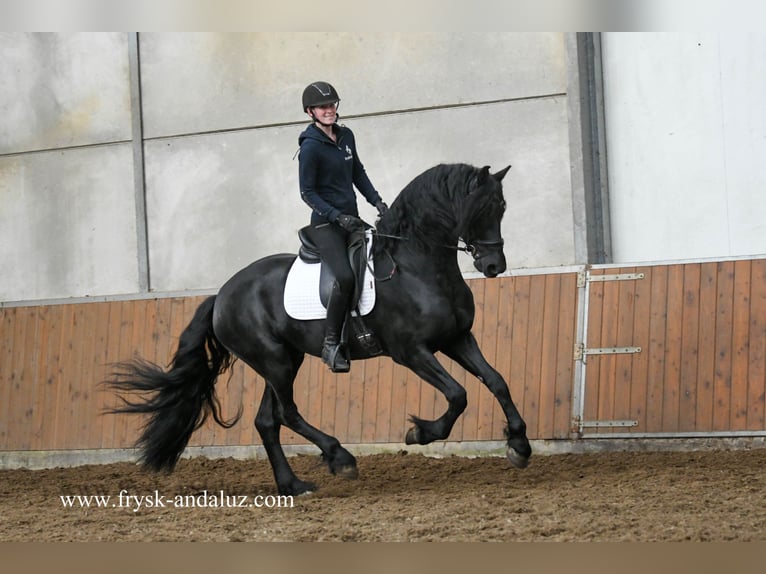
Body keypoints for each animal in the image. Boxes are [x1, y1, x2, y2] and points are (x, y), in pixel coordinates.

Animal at [107, 163, 531, 496]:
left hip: (284, 360)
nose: (494, 266)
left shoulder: (457, 338)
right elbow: (458, 394)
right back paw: (339, 457)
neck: (415, 265)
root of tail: (222, 294)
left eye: (502, 207)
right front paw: (421, 433)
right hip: (275, 361)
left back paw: (293, 485)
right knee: (288, 413)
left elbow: (496, 381)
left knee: (268, 421)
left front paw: (519, 445)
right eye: (480, 209)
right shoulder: (411, 352)